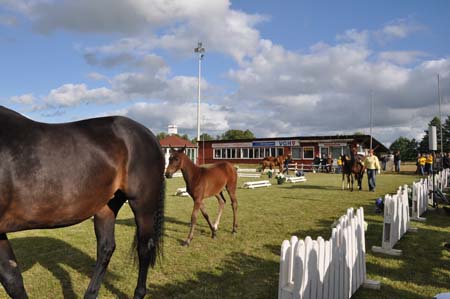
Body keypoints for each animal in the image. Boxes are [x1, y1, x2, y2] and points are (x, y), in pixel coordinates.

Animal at [0, 106, 165, 298]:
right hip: (106, 207)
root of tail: (149, 134)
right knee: (106, 248)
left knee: (144, 249)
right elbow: (12, 279)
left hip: (142, 204)